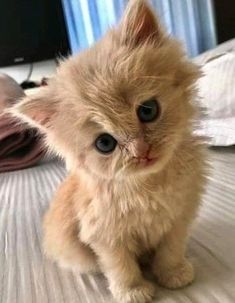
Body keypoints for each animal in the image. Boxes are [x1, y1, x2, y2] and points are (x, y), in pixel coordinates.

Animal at [11, 0, 207, 303]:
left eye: (148, 110)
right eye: (105, 143)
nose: (141, 151)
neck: (150, 186)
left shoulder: (179, 217)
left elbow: (170, 251)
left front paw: (173, 273)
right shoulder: (105, 235)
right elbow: (120, 266)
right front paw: (132, 291)